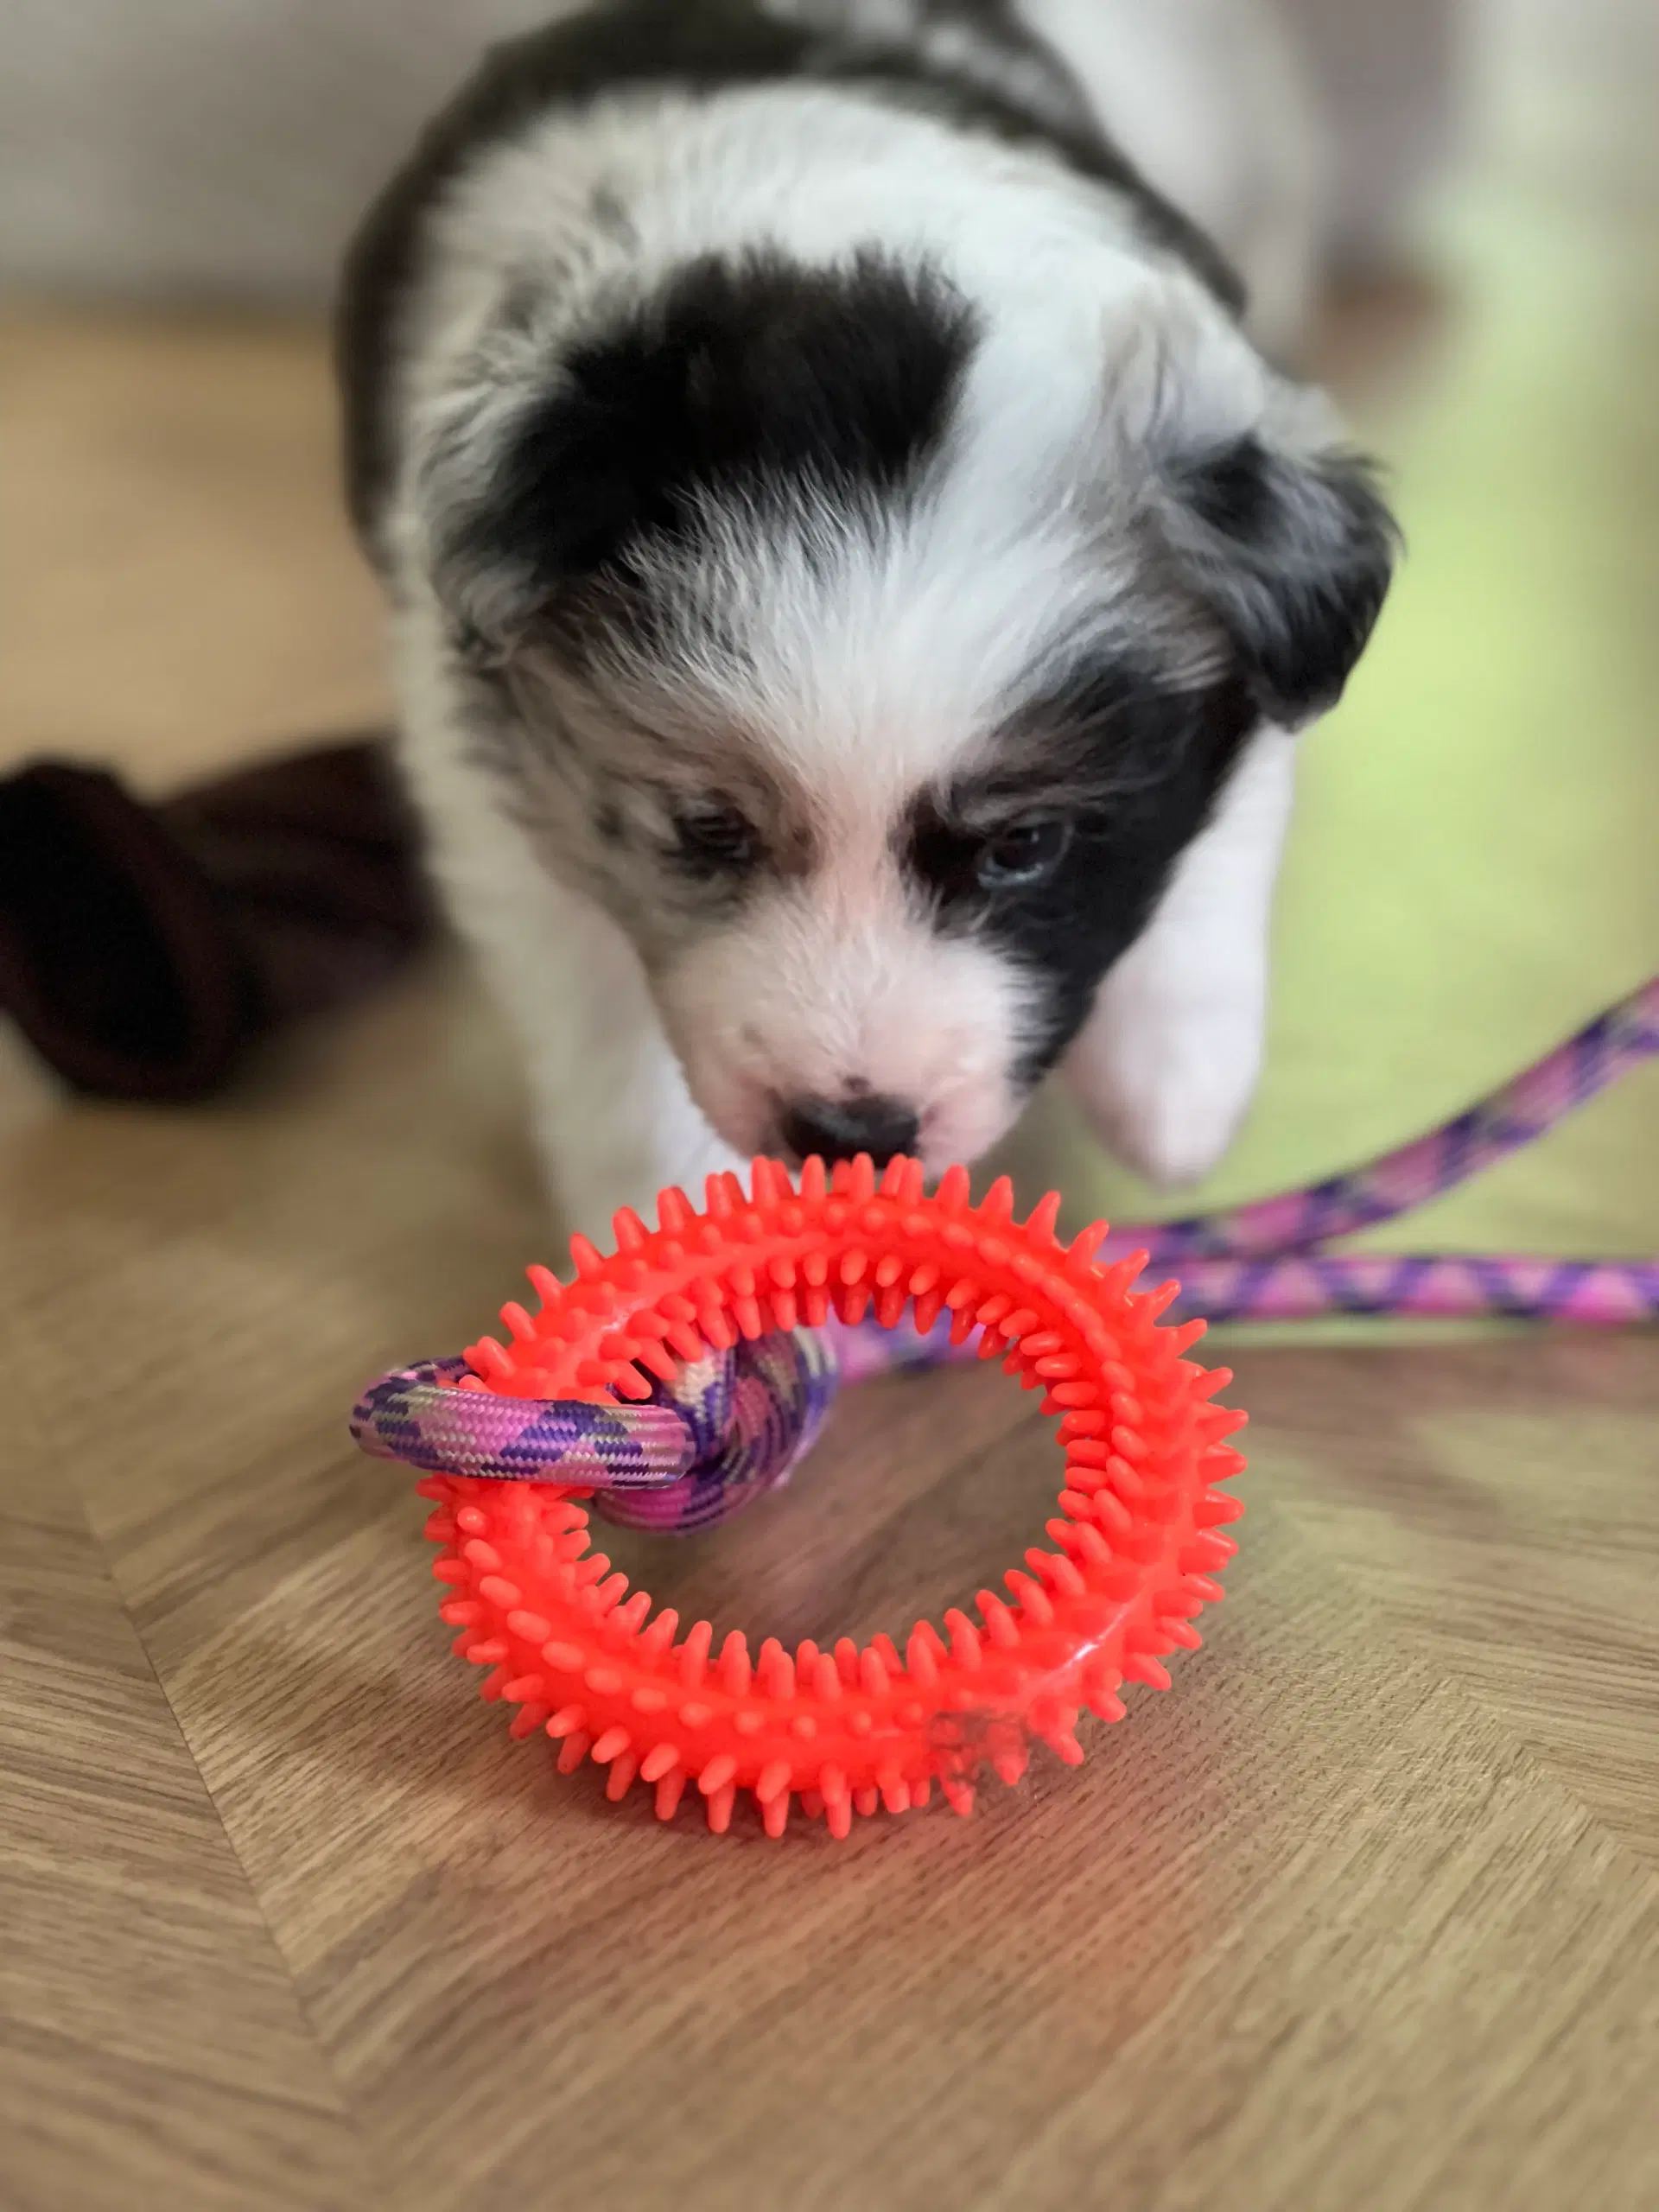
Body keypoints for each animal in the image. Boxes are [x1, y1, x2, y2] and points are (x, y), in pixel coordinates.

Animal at [340, 0, 1407, 1247]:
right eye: (709, 829)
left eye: (1023, 845)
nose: (851, 1133)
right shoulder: (490, 763)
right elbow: (604, 1022)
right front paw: (664, 1217)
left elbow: (1226, 829)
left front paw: (1174, 1089)